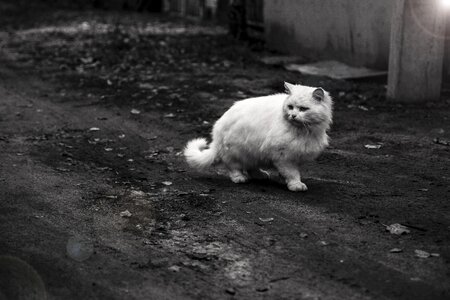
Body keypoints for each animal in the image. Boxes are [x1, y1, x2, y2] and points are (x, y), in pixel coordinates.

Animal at [184, 82, 334, 191]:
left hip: (253, 151)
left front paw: (284, 179)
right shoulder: (283, 156)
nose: (293, 115)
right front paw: (295, 184)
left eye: (303, 109)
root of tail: (217, 130)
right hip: (235, 151)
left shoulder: (295, 155)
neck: (305, 131)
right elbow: (292, 173)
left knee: (251, 167)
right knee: (233, 166)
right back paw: (240, 178)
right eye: (290, 107)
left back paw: (261, 175)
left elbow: (287, 172)